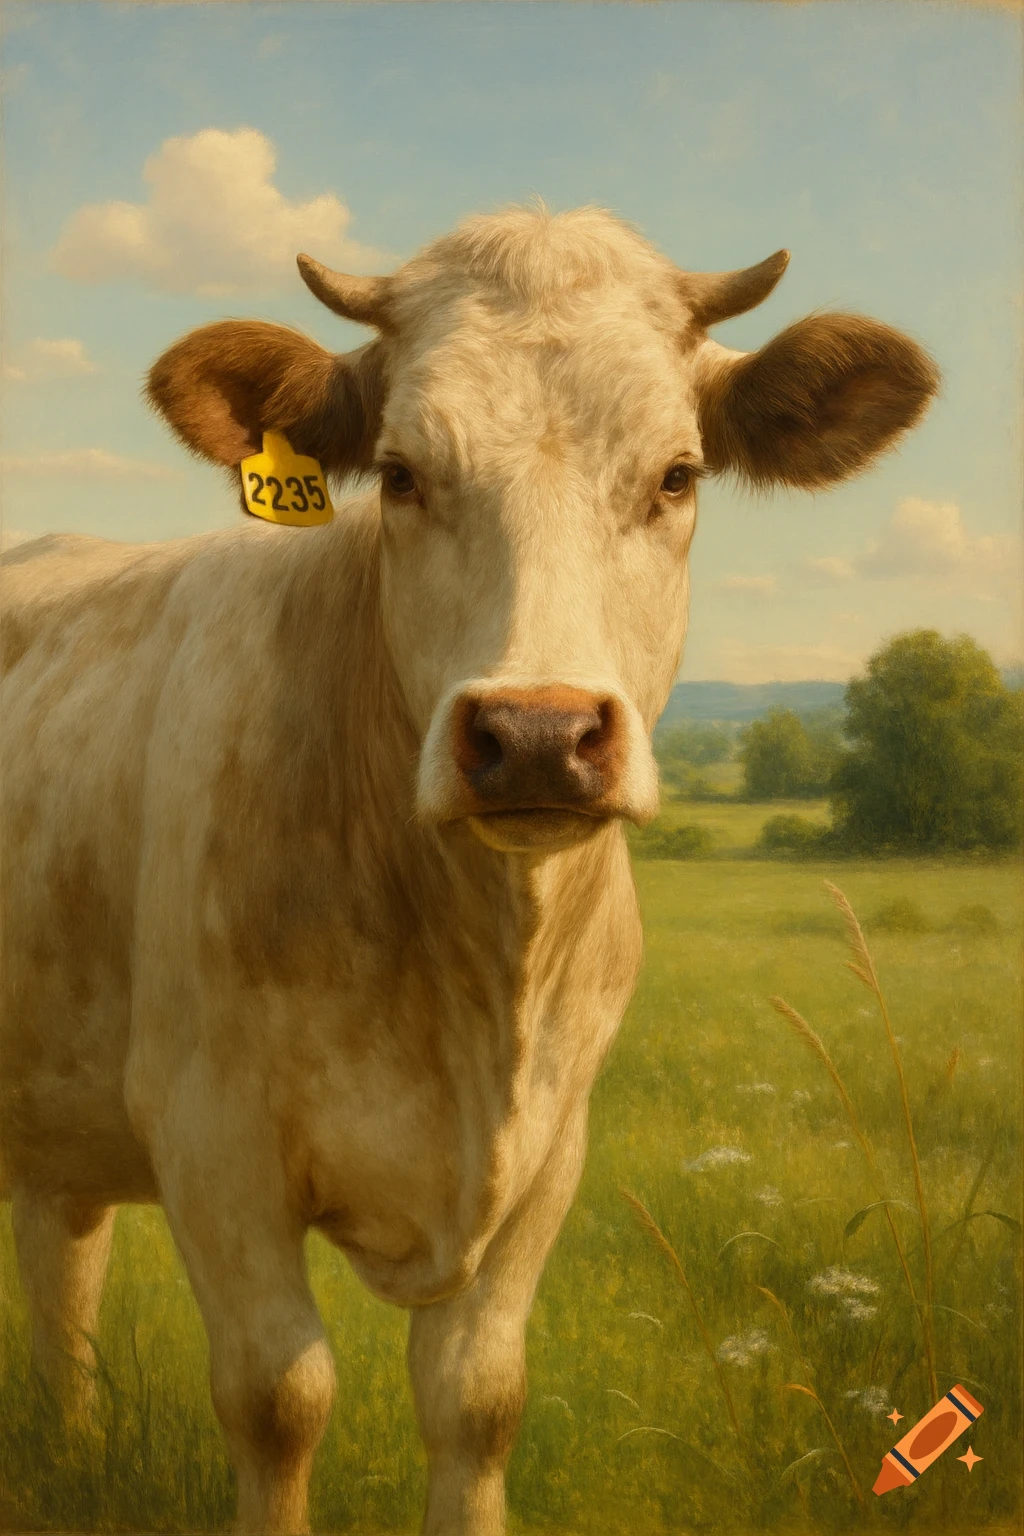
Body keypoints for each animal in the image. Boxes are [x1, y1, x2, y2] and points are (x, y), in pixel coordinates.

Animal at [0, 206, 937, 1535]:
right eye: (399, 474)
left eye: (676, 474)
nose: (536, 732)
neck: (476, 975)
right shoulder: (209, 1133)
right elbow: (278, 1398)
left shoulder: (553, 1147)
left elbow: (478, 1400)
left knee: (61, 1261)